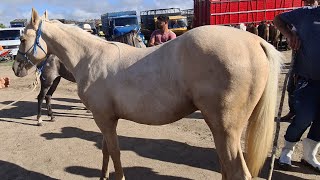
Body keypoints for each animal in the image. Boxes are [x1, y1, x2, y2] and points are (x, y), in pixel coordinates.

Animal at [13, 9, 282, 180]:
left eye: (22, 38)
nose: (16, 68)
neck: (90, 57)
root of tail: (256, 41)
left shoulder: (104, 119)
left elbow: (115, 153)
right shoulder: (104, 119)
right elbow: (106, 152)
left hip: (226, 130)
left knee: (237, 172)